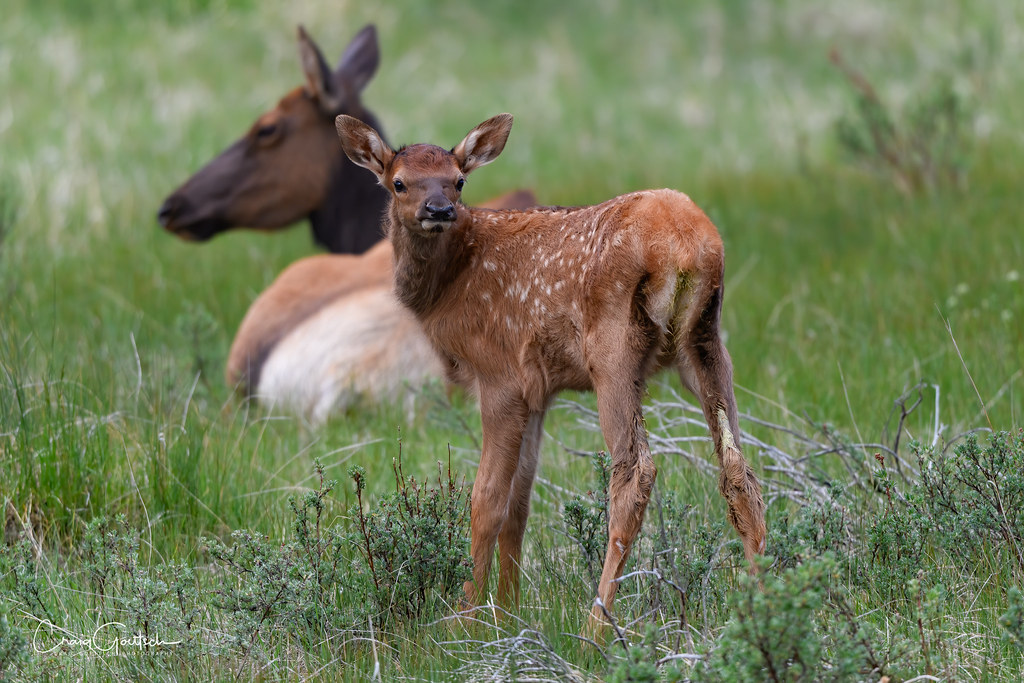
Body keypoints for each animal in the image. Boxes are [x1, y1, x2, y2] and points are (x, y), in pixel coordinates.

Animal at [335, 113, 767, 623]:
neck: (450, 286)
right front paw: (508, 608)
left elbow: (486, 501)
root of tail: (686, 243)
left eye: (459, 181)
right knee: (739, 471)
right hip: (705, 343)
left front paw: (467, 616)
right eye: (399, 182)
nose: (439, 209)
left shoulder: (499, 374)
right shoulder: (536, 390)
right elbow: (519, 504)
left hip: (613, 350)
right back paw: (765, 601)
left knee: (634, 474)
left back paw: (598, 623)